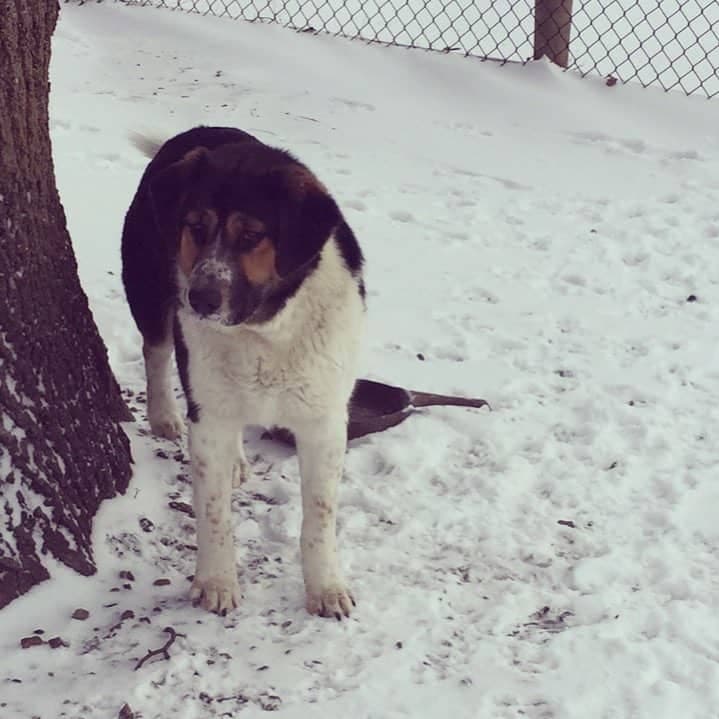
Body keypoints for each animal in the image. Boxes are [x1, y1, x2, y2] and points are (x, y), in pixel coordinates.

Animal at [121, 125, 366, 620]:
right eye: (195, 227)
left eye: (252, 235)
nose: (201, 299)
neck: (265, 328)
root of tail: (196, 132)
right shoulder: (209, 416)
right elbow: (213, 512)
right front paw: (216, 582)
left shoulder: (324, 422)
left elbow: (320, 514)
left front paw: (326, 587)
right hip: (149, 291)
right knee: (156, 352)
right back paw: (164, 415)